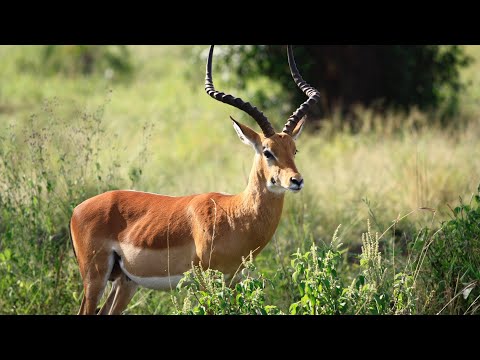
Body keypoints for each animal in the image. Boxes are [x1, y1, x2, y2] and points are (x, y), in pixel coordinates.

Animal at [70, 45, 318, 316]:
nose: (296, 180)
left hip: (125, 282)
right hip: (95, 278)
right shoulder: (206, 282)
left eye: (294, 149)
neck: (234, 214)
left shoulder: (232, 280)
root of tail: (77, 209)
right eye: (267, 151)